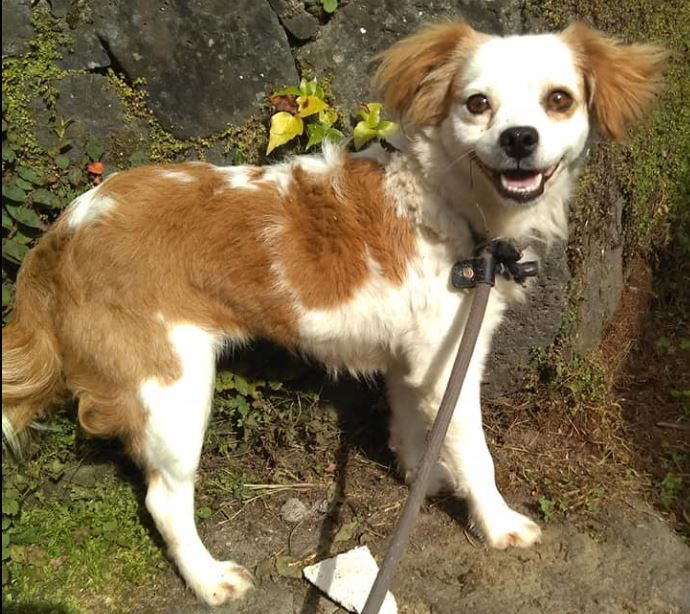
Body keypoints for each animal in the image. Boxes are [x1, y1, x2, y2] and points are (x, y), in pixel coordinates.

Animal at [2, 21, 664, 606]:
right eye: (478, 104)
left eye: (559, 101)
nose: (520, 138)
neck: (450, 204)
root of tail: (67, 226)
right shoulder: (452, 363)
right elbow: (478, 454)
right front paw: (498, 523)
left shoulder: (414, 363)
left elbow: (415, 430)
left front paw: (425, 476)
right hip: (174, 389)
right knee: (165, 500)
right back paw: (207, 579)